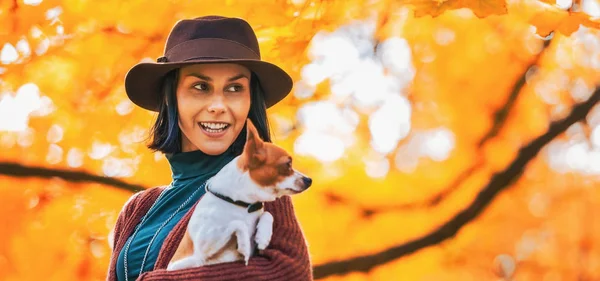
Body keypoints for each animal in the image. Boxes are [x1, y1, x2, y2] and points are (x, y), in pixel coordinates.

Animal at [166, 117, 312, 270]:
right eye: (287, 165)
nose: (309, 180)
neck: (242, 205)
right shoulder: (202, 248)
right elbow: (237, 223)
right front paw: (244, 246)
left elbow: (267, 213)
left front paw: (262, 236)